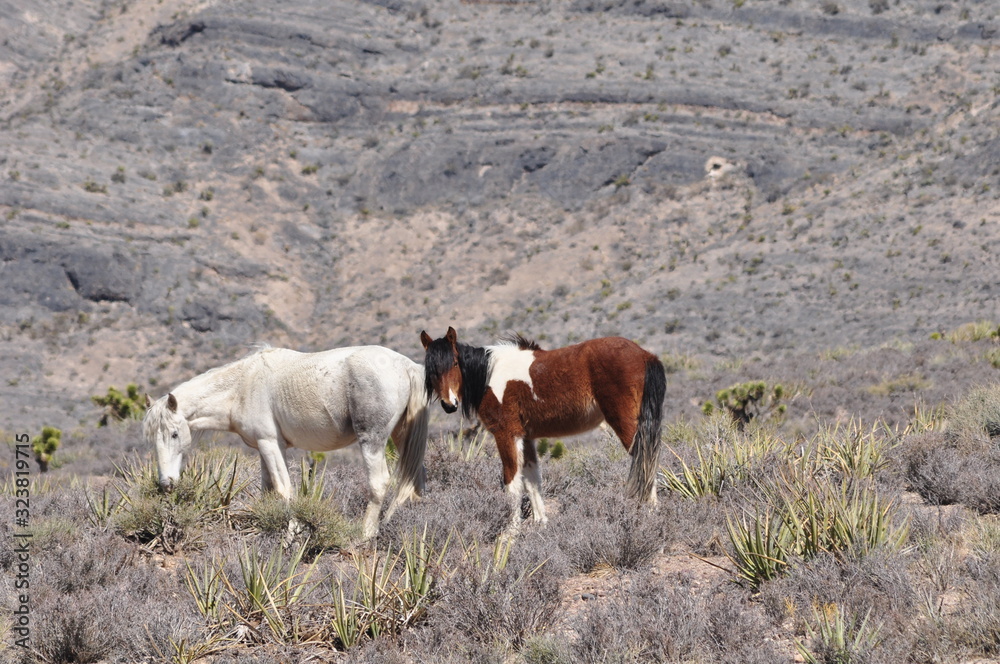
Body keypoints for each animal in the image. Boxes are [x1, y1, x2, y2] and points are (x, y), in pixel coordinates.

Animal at [142, 345, 430, 539]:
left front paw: (291, 534)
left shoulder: (270, 444)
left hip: (372, 441)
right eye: (153, 438)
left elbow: (284, 490)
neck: (242, 386)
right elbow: (268, 492)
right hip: (402, 437)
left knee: (379, 483)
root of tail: (407, 365)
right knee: (413, 483)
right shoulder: (265, 448)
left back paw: (366, 535)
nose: (166, 484)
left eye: (174, 434)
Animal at [420, 327, 665, 529]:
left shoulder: (507, 435)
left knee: (645, 461)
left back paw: (649, 515)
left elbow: (512, 481)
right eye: (431, 370)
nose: (449, 404)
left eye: (454, 362)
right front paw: (541, 524)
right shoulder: (526, 437)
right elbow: (532, 480)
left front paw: (511, 531)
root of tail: (645, 355)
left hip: (626, 423)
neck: (489, 375)